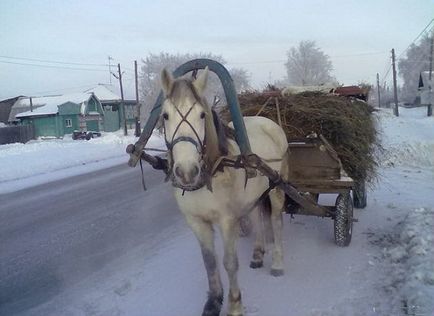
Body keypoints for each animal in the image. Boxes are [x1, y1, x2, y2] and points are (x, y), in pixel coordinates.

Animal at [159, 68, 288, 316]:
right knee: (257, 216)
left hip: (277, 187)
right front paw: (213, 302)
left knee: (277, 221)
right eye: (165, 116)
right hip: (255, 194)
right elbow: (210, 261)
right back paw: (258, 254)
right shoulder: (196, 221)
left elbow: (229, 262)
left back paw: (278, 262)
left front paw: (235, 304)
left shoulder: (227, 220)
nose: (187, 171)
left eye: (202, 115)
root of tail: (267, 121)